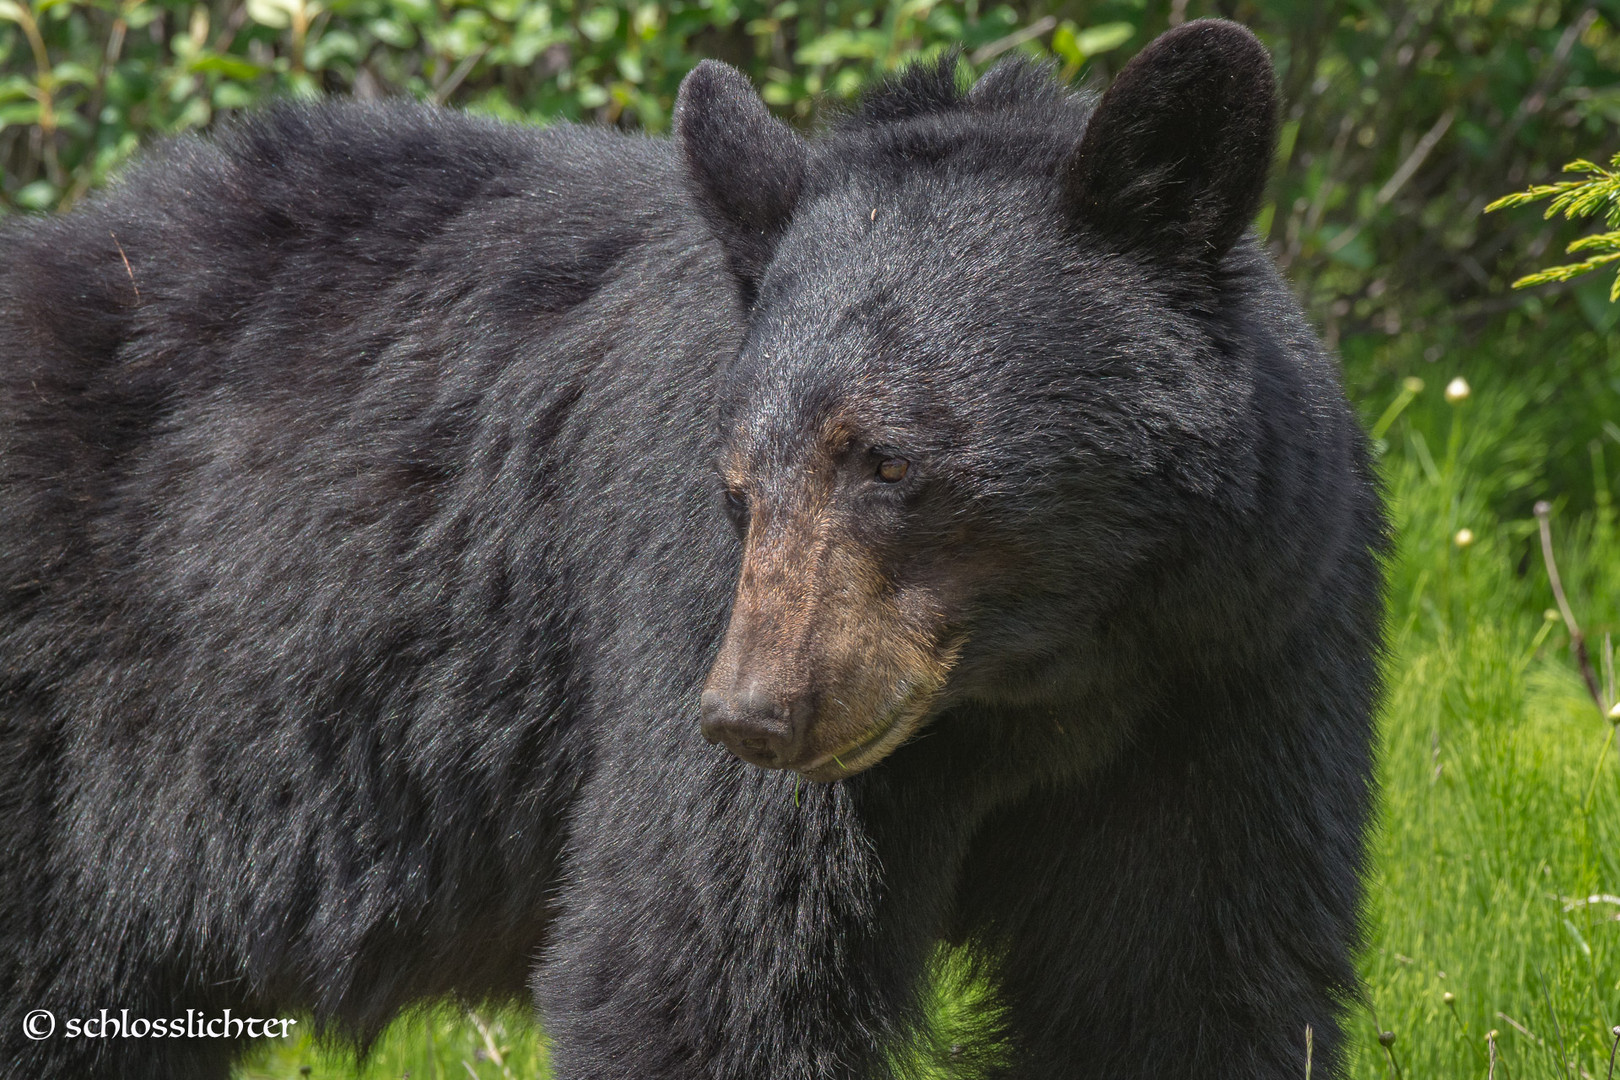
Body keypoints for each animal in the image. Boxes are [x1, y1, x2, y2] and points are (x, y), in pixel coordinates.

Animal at [3, 19, 1380, 1080]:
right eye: (737, 484)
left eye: (887, 461)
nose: (752, 715)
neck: (1046, 680)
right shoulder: (691, 618)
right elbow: (709, 965)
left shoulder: (1233, 667)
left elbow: (1179, 980)